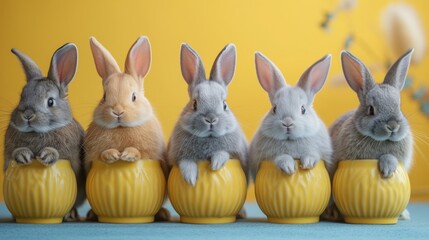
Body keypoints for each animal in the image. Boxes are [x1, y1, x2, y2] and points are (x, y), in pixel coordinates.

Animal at [4, 43, 85, 221]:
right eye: (21, 97)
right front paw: (23, 155)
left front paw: (47, 155)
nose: (27, 115)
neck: (37, 132)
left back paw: (71, 214)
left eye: (50, 102)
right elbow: (16, 151)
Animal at [83, 35, 169, 221]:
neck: (121, 128)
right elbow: (102, 153)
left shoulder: (151, 153)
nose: (117, 111)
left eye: (134, 97)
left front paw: (128, 155)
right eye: (104, 96)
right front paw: (113, 155)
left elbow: (140, 152)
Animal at [167, 43, 247, 187]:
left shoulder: (235, 153)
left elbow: (223, 153)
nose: (211, 119)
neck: (208, 138)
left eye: (224, 105)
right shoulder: (177, 157)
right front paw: (190, 179)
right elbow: (186, 162)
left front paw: (215, 164)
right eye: (194, 104)